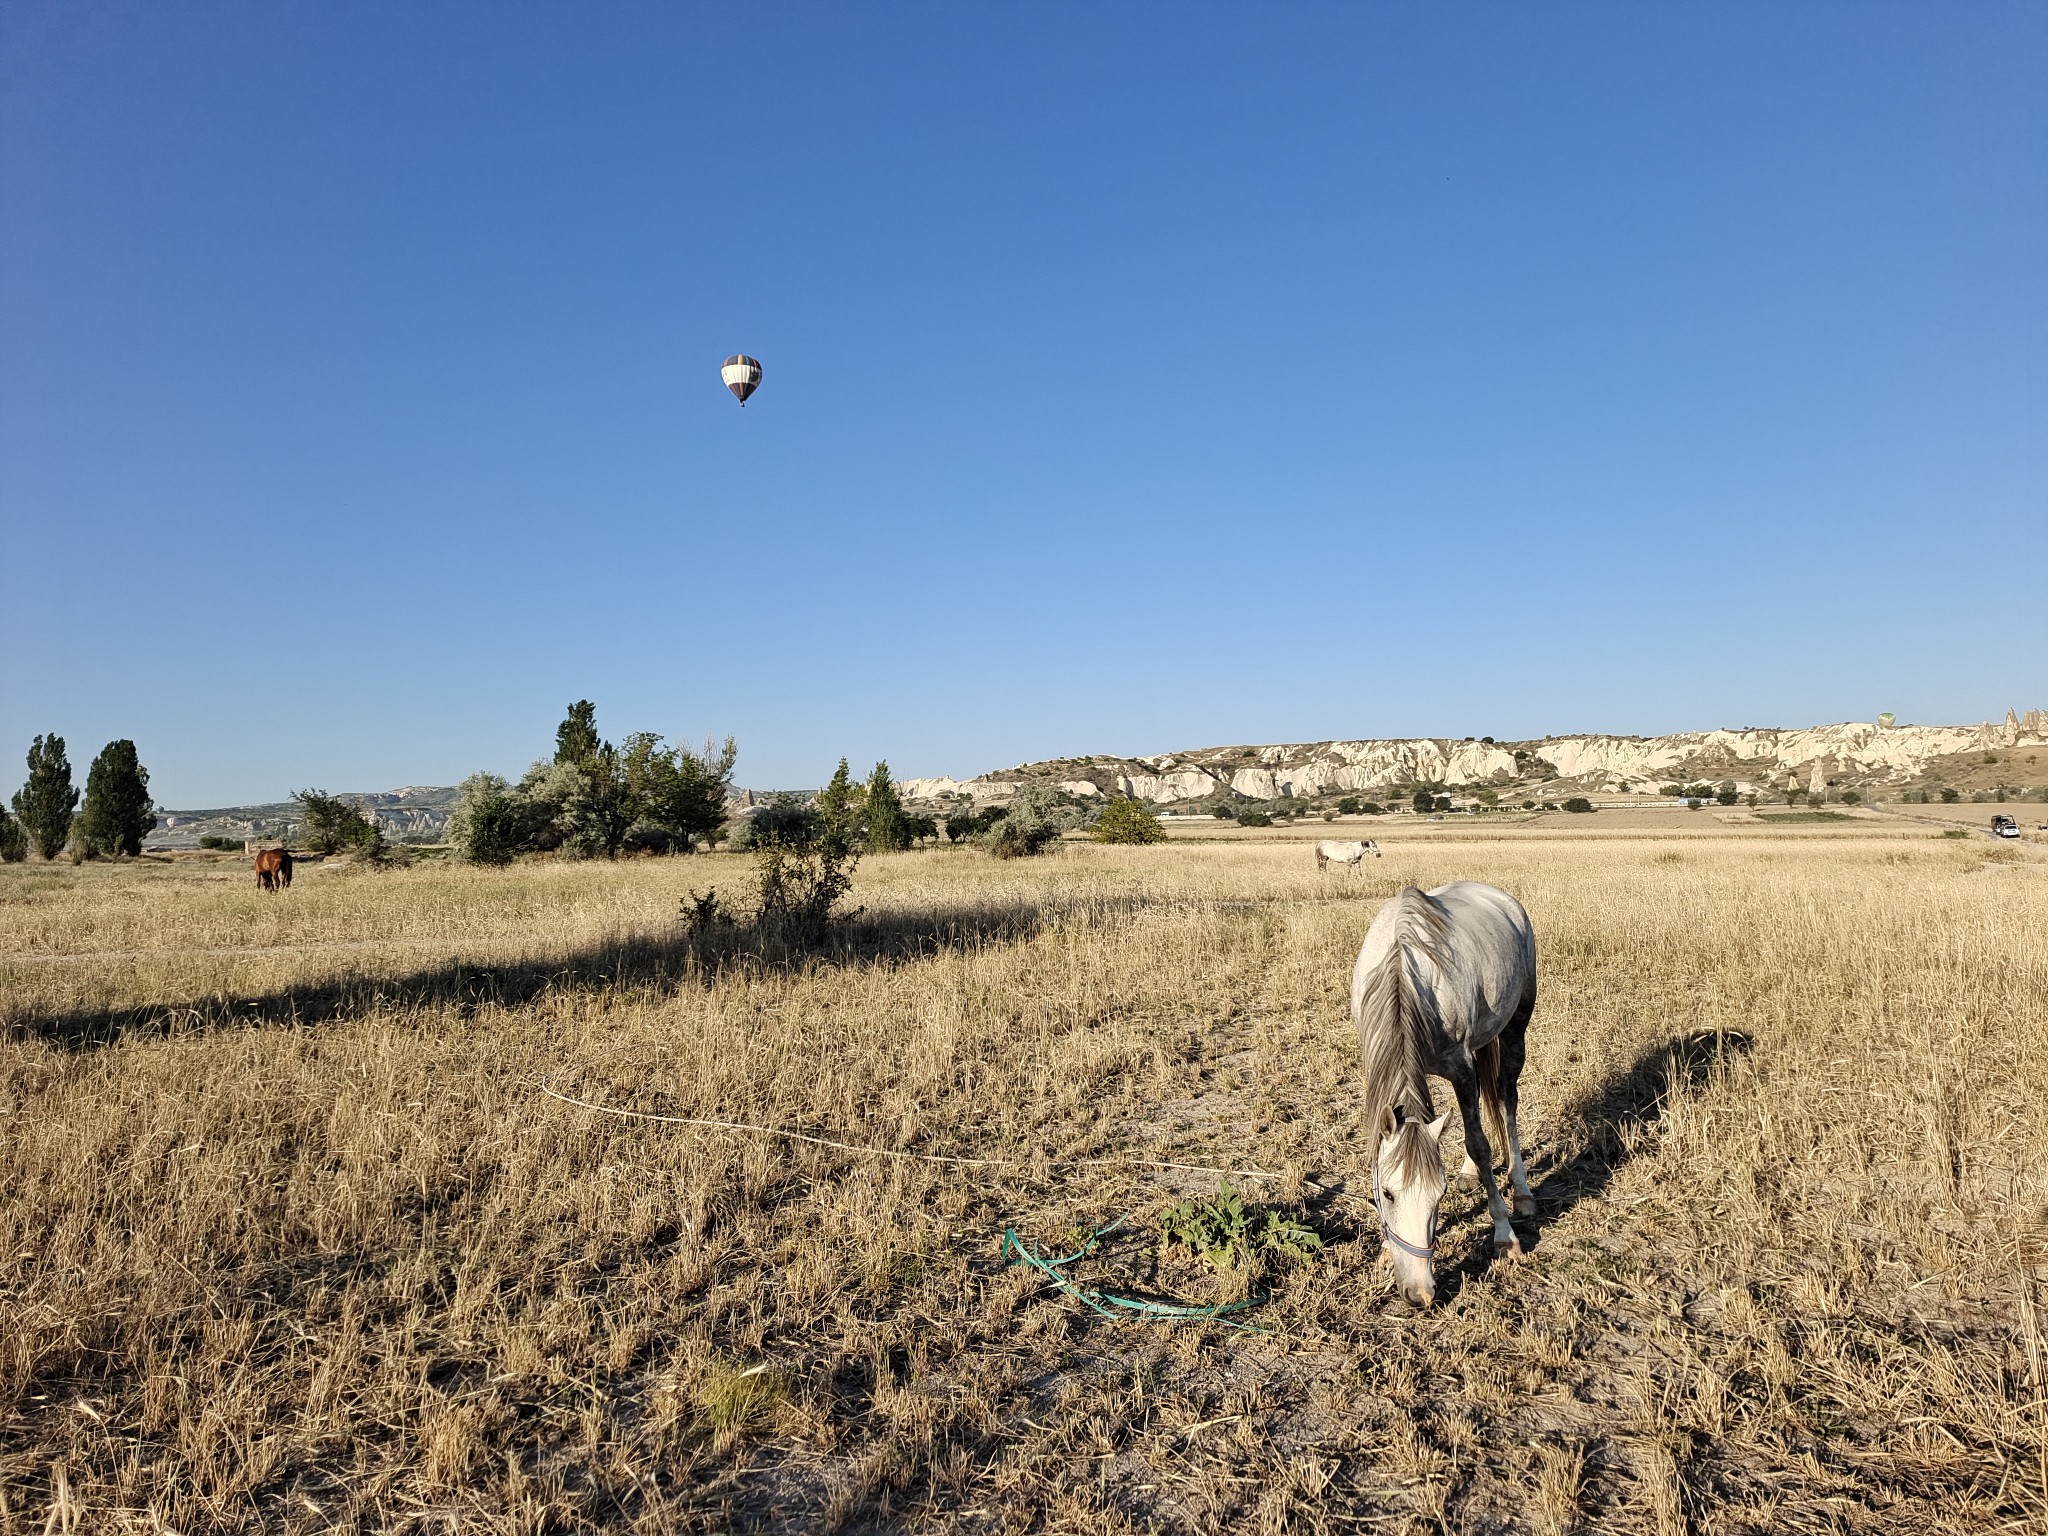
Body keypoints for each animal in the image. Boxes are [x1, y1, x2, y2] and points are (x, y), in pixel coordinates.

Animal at [1343, 876, 1540, 1310]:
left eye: (1439, 1195)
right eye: (1387, 1193)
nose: (1419, 1294)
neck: (1403, 969)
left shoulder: (1460, 1066)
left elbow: (1480, 1143)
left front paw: (1504, 1235)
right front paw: (1386, 1251)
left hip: (1514, 1029)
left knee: (1506, 1100)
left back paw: (1521, 1193)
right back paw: (1471, 1173)